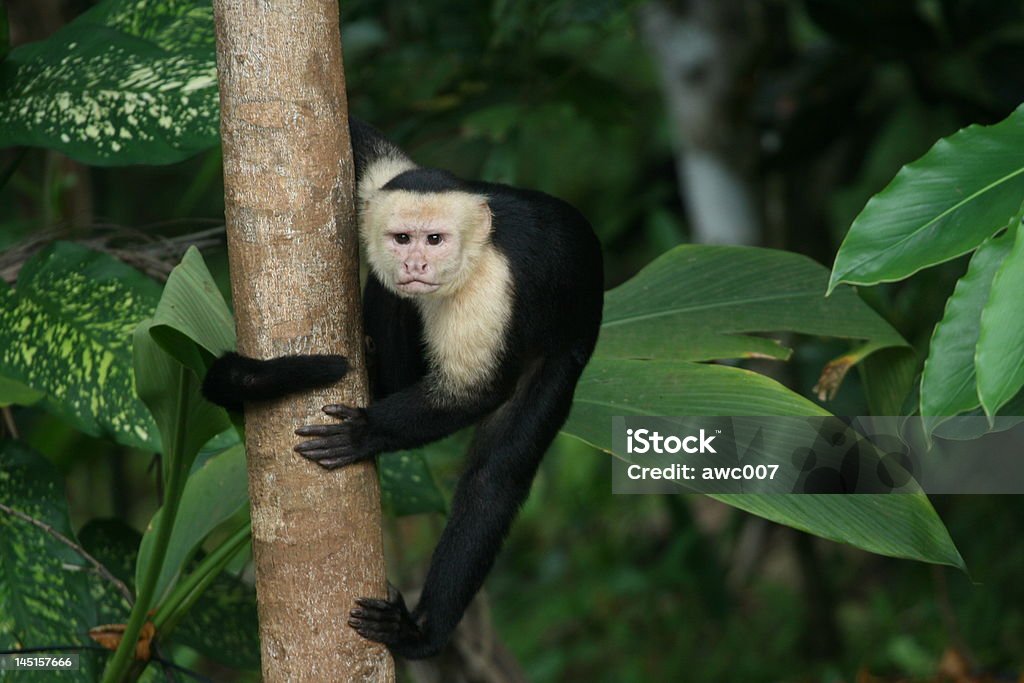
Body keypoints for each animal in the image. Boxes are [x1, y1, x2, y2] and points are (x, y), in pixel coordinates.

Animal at [200, 120, 602, 659]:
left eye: (435, 239)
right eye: (402, 237)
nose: (414, 264)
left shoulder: (489, 288)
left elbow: (473, 393)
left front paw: (366, 431)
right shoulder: (382, 186)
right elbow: (362, 140)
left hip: (565, 349)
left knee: (496, 476)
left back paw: (421, 631)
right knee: (391, 295)